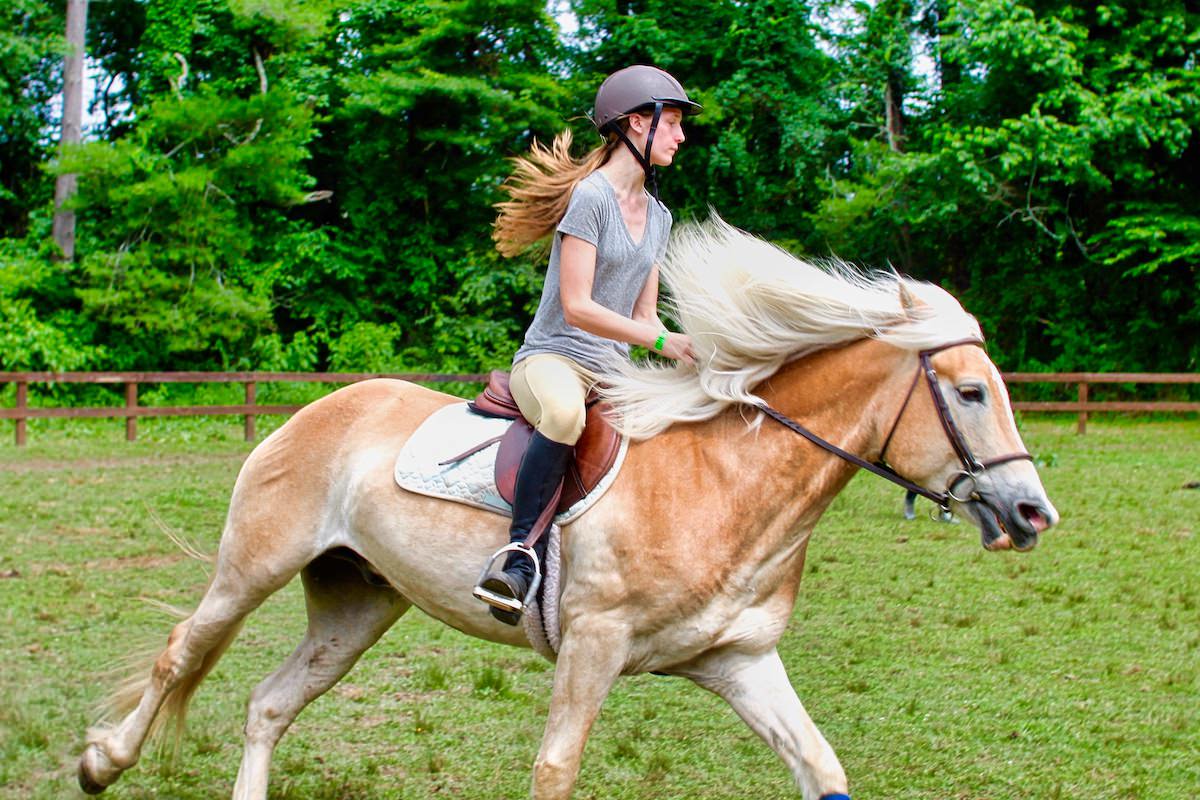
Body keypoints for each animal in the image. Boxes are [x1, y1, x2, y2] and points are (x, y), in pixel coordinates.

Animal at [77, 219, 1060, 800]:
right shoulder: (593, 644)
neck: (730, 483)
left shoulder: (739, 660)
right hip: (253, 567)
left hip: (356, 602)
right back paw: (99, 762)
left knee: (270, 704)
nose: (1033, 513)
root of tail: (321, 407)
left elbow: (820, 768)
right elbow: (556, 771)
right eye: (971, 392)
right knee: (180, 656)